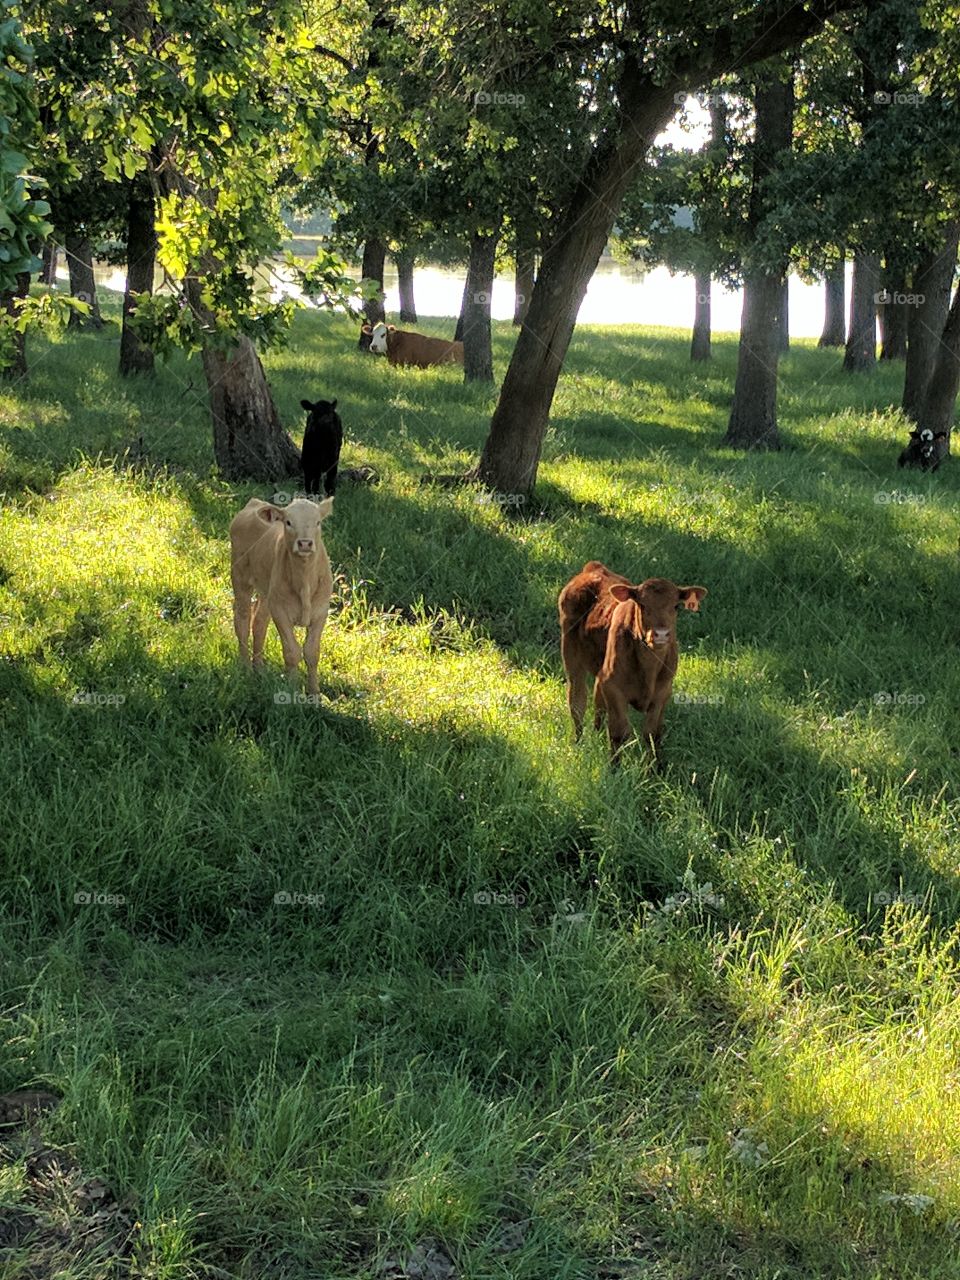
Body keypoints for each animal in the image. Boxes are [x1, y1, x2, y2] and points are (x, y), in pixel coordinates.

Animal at [229, 497, 334, 696]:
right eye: (288, 522)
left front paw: (315, 694)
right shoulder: (280, 612)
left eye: (318, 522)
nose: (305, 543)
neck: (305, 582)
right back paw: (246, 668)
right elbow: (292, 652)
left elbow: (312, 652)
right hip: (240, 578)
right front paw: (292, 691)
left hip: (267, 593)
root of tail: (254, 502)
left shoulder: (321, 611)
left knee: (259, 622)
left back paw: (259, 668)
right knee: (243, 621)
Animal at [558, 561, 707, 765]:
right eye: (642, 605)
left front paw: (653, 769)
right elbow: (619, 733)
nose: (661, 634)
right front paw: (614, 767)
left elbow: (652, 734)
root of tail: (594, 568)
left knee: (597, 701)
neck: (648, 669)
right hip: (571, 657)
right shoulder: (613, 687)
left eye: (676, 606)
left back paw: (596, 735)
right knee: (577, 701)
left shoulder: (663, 691)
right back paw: (579, 744)